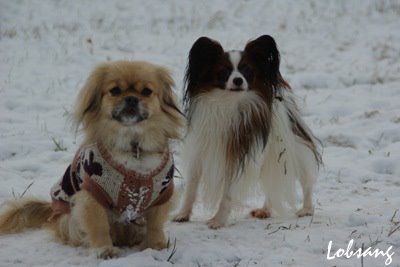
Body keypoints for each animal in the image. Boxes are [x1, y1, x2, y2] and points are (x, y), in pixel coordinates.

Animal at [173, 34, 320, 229]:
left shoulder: (237, 156)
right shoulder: (200, 152)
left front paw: (218, 220)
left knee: (305, 181)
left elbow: (227, 194)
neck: (228, 103)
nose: (238, 80)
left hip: (293, 151)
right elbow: (191, 187)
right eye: (224, 71)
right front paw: (183, 214)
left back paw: (306, 209)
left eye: (246, 71)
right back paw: (265, 210)